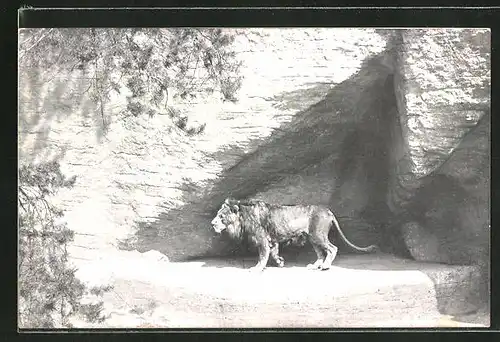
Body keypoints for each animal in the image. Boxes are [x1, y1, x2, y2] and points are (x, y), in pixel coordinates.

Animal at [209, 198, 376, 272]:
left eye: (221, 216)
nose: (212, 223)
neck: (242, 217)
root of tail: (328, 211)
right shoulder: (272, 240)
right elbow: (273, 253)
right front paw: (280, 262)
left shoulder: (262, 240)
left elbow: (262, 256)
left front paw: (256, 268)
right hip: (312, 238)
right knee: (320, 253)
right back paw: (314, 265)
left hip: (318, 235)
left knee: (332, 249)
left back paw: (325, 266)